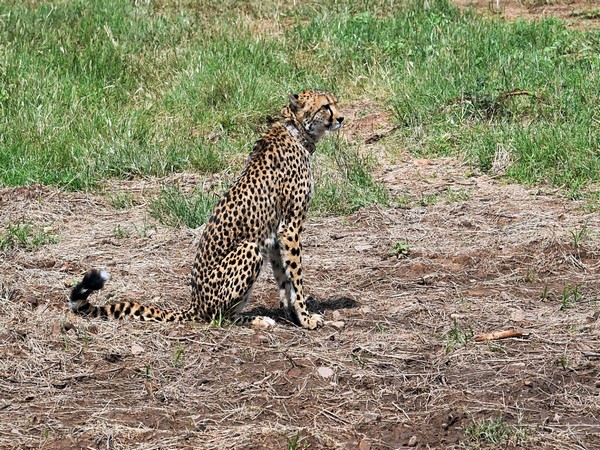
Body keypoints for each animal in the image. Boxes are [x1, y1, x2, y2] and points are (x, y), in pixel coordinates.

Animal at [69, 90, 344, 330]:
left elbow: (284, 278)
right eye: (325, 106)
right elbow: (296, 277)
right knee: (219, 316)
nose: (341, 118)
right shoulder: (290, 227)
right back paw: (255, 320)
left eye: (335, 102)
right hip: (248, 249)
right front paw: (306, 318)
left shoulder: (276, 234)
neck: (296, 132)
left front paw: (291, 314)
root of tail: (195, 304)